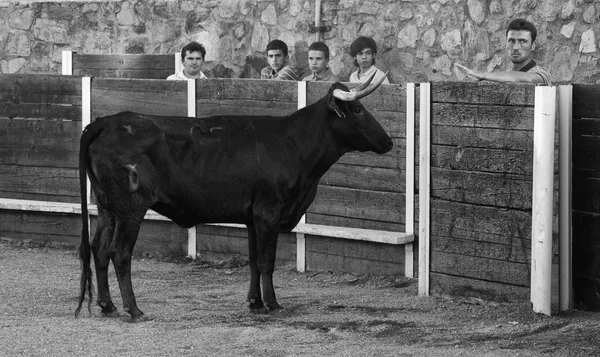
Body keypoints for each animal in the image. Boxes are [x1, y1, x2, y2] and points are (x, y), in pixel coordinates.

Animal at [76, 75, 394, 320]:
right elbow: (267, 261)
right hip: (131, 210)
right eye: (357, 109)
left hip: (106, 208)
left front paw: (255, 303)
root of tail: (104, 123)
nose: (389, 141)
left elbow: (253, 260)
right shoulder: (268, 213)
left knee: (99, 249)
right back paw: (134, 309)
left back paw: (107, 306)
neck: (292, 143)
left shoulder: (253, 218)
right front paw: (273, 304)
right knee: (120, 253)